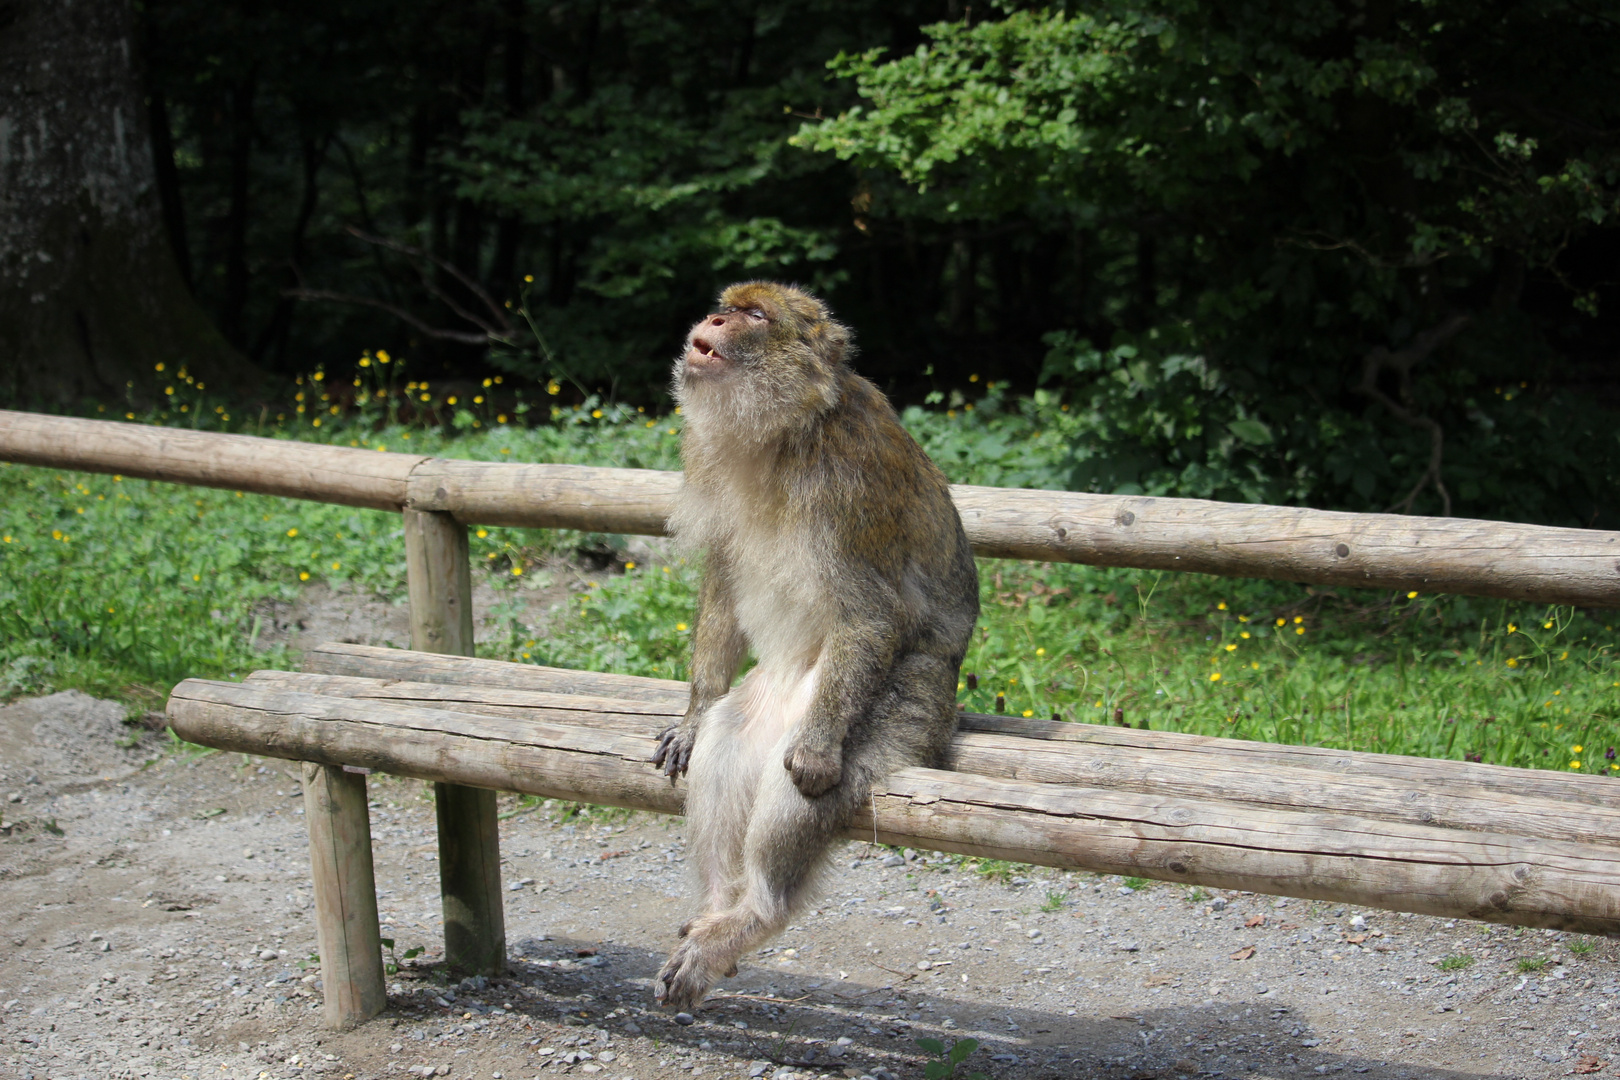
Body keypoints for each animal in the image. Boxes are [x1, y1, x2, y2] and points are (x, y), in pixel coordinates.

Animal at [644, 281, 972, 1016]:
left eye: (753, 315)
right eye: (727, 304)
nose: (714, 318)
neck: (783, 433)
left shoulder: (849, 480)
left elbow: (872, 613)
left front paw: (817, 754)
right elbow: (724, 583)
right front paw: (692, 713)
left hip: (900, 706)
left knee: (806, 783)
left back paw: (754, 913)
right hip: (767, 698)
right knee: (731, 741)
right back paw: (718, 904)